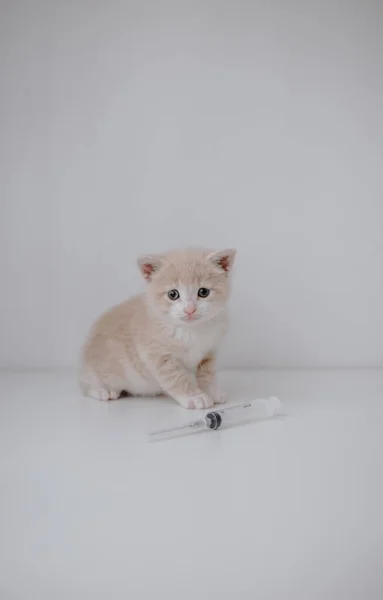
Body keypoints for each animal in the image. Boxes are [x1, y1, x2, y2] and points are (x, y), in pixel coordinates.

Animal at [79, 247, 236, 408]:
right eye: (173, 294)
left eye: (203, 292)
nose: (190, 310)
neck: (190, 330)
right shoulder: (158, 355)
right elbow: (177, 378)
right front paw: (195, 396)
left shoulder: (208, 353)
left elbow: (206, 375)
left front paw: (211, 392)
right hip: (96, 372)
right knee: (86, 385)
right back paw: (102, 391)